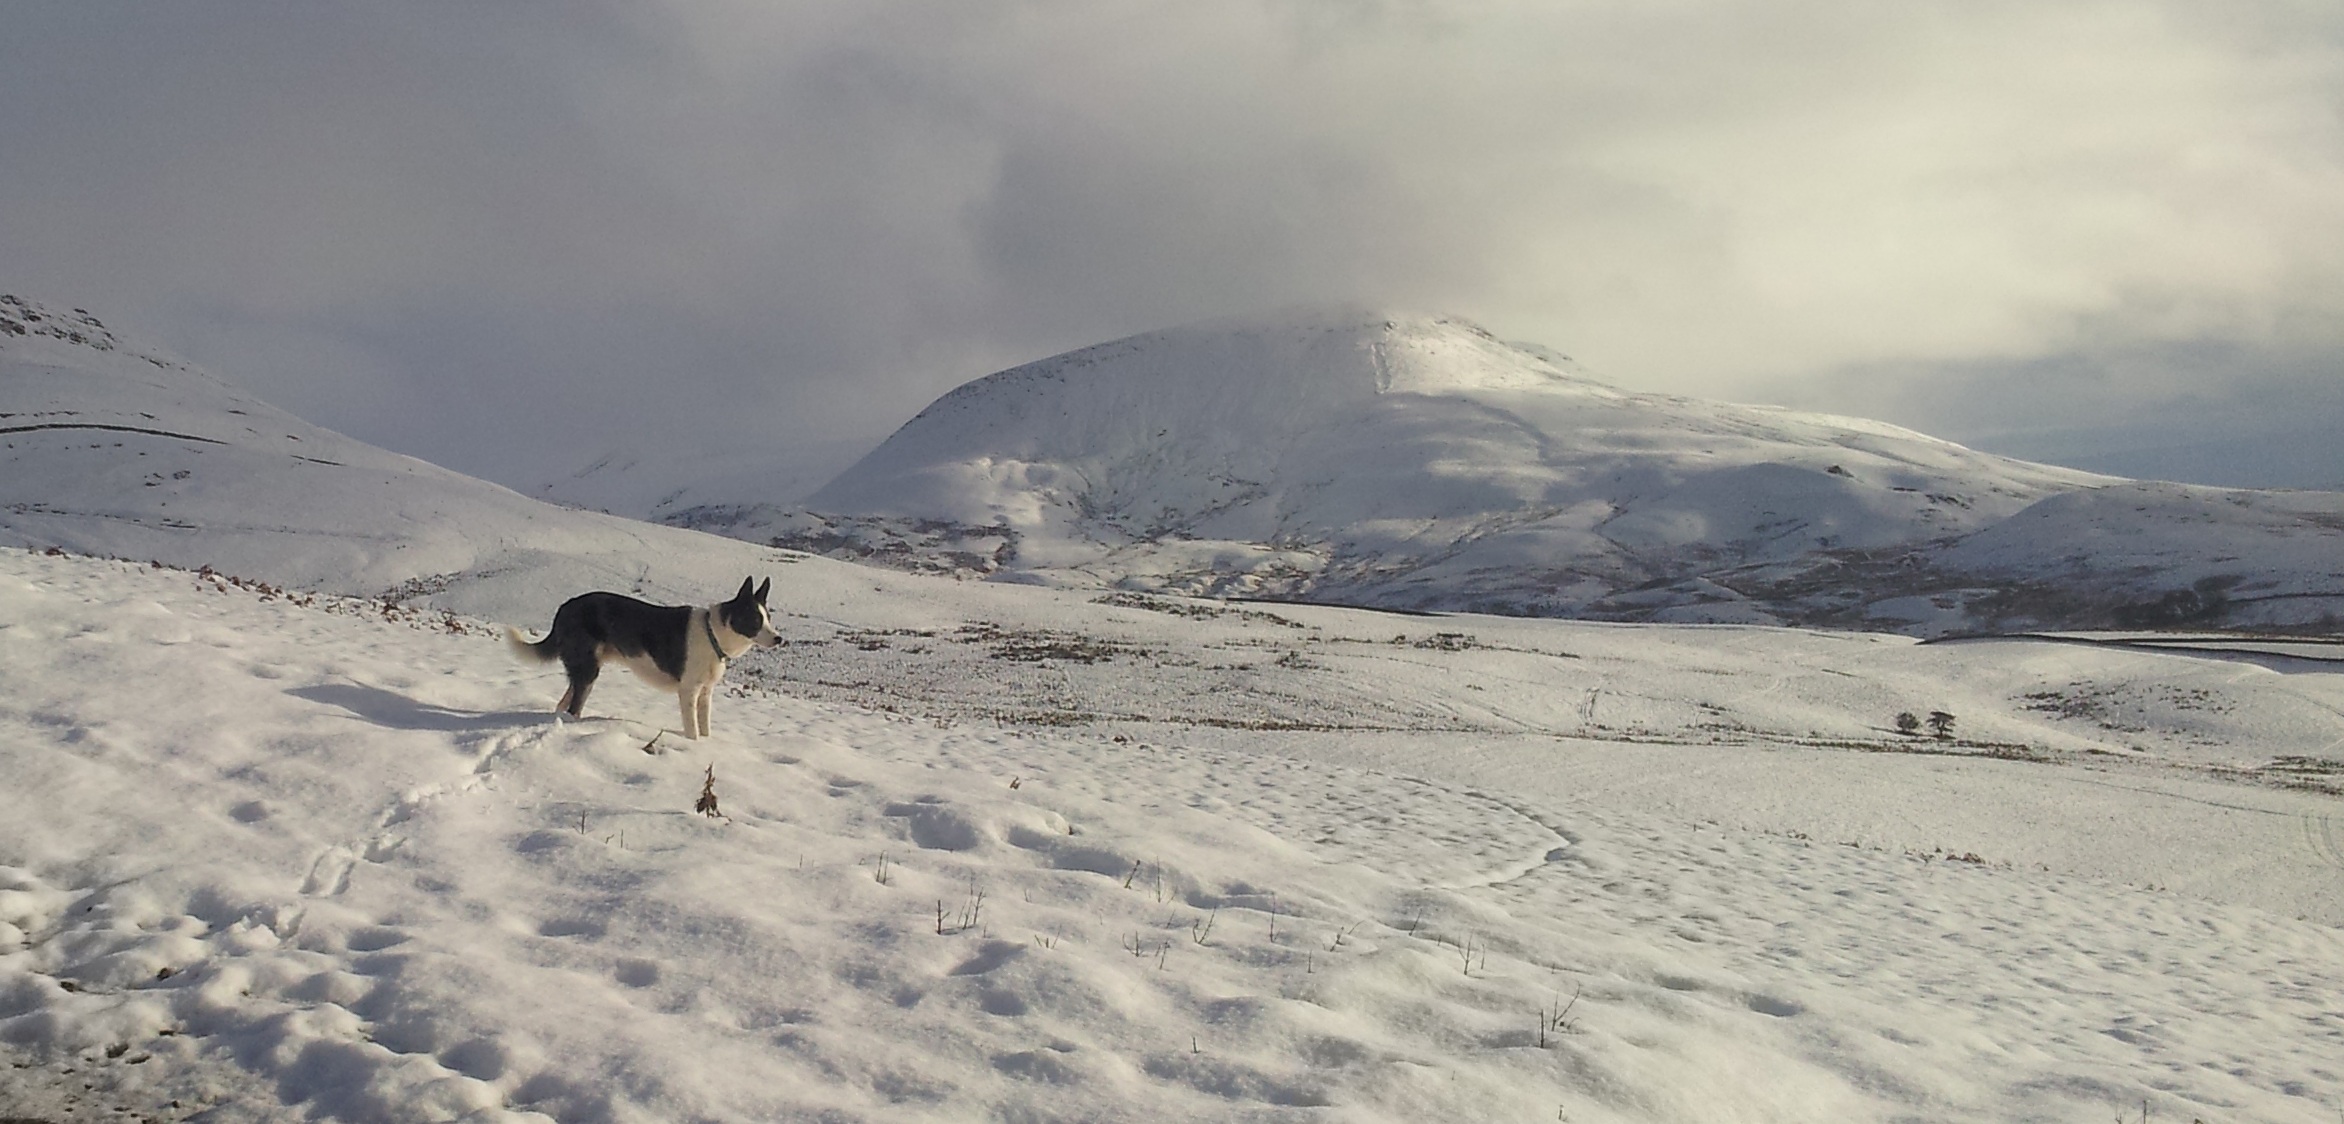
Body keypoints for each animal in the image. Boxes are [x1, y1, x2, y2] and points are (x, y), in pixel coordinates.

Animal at [503, 580, 778, 739]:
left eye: (768, 618)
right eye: (755, 619)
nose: (780, 639)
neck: (713, 632)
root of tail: (564, 607)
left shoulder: (705, 693)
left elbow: (705, 727)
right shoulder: (689, 691)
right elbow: (692, 731)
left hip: (584, 668)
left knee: (564, 704)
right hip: (588, 670)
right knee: (573, 707)